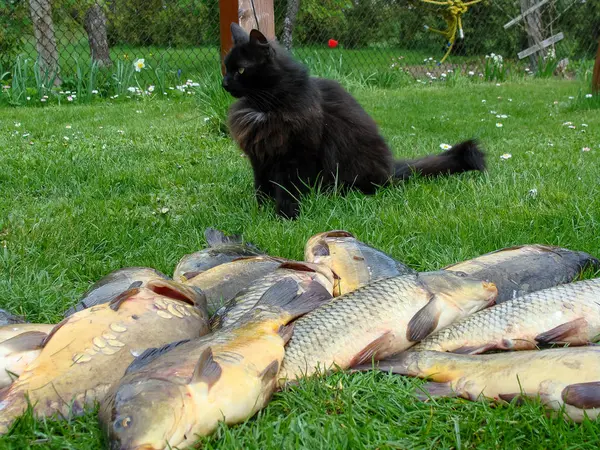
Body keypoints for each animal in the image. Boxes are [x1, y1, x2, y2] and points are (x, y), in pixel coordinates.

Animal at [223, 23, 486, 219]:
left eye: (241, 71)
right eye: (226, 68)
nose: (224, 83)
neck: (264, 106)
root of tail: (391, 170)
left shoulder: (296, 156)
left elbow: (288, 190)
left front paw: (285, 217)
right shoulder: (260, 157)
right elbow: (261, 188)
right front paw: (260, 212)